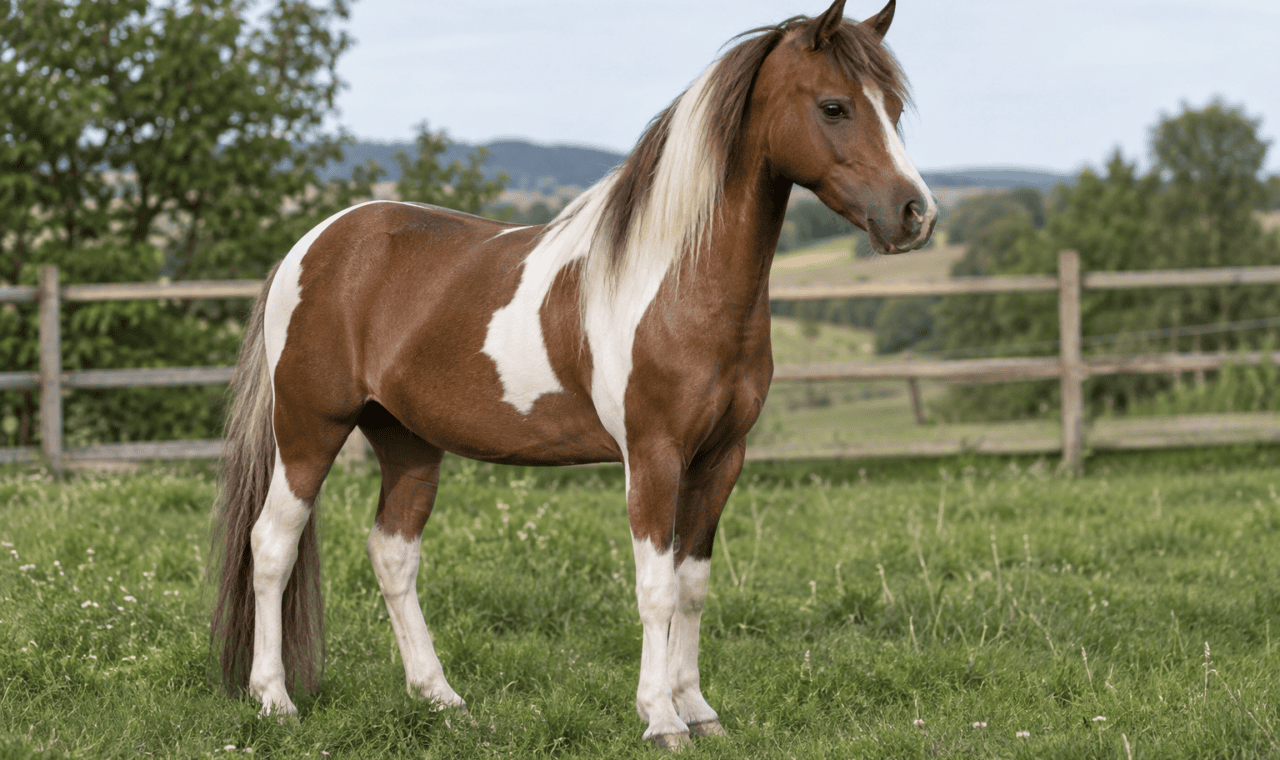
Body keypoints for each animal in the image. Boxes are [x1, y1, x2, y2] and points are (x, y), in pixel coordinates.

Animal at [210, 0, 936, 749]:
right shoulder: (653, 456)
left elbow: (693, 586)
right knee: (271, 546)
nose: (915, 214)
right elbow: (655, 588)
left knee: (392, 553)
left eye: (894, 106)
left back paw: (440, 699)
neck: (678, 281)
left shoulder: (721, 458)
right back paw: (275, 700)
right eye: (834, 106)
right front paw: (660, 719)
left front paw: (699, 710)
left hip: (407, 440)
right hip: (309, 429)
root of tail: (314, 243)